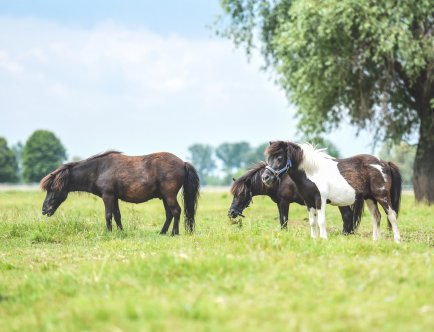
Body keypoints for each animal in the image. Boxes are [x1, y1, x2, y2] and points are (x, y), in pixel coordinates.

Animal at [39, 152, 199, 235]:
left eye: (53, 188)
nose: (44, 209)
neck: (98, 170)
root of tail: (183, 162)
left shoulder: (108, 196)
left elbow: (108, 215)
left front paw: (109, 233)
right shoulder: (114, 197)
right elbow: (117, 215)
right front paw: (120, 232)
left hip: (169, 196)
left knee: (176, 211)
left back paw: (174, 233)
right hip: (164, 197)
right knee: (169, 214)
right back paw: (162, 233)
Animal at [227, 162, 356, 232]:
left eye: (242, 194)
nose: (231, 212)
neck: (278, 181)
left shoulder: (284, 202)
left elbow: (284, 220)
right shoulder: (279, 203)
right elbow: (282, 220)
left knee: (347, 216)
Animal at [262, 141, 404, 243]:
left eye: (280, 158)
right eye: (269, 158)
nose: (265, 177)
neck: (312, 172)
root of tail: (385, 163)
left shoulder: (320, 200)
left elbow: (321, 220)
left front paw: (323, 238)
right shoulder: (309, 202)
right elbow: (312, 221)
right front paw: (314, 239)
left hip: (382, 196)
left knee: (391, 215)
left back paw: (397, 239)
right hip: (370, 198)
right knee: (376, 217)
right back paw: (376, 240)